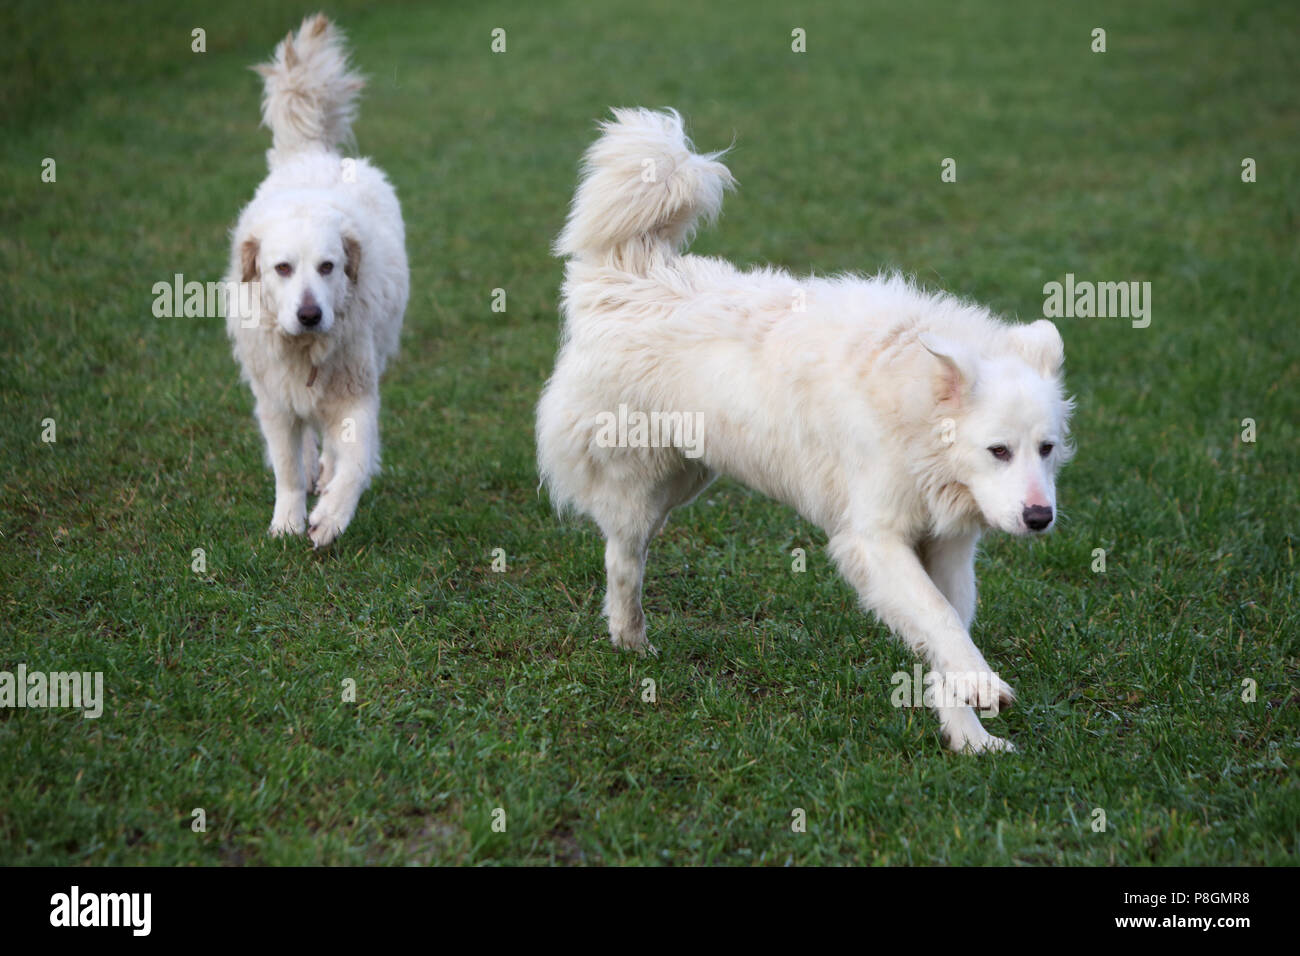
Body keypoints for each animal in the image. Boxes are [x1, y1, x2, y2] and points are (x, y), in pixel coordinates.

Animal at [223, 14, 405, 548]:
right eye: (282, 268)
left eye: (328, 267)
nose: (309, 315)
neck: (304, 350)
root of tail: (312, 155)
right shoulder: (275, 403)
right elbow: (285, 464)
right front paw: (287, 520)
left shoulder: (357, 395)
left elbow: (357, 460)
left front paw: (331, 515)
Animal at [538, 108, 1076, 754]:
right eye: (997, 451)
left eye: (1046, 449)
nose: (1040, 519)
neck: (914, 409)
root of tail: (626, 270)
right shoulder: (873, 539)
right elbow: (941, 621)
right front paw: (983, 687)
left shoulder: (948, 550)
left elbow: (945, 634)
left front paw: (971, 738)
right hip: (641, 487)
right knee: (622, 559)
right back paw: (631, 642)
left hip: (688, 477)